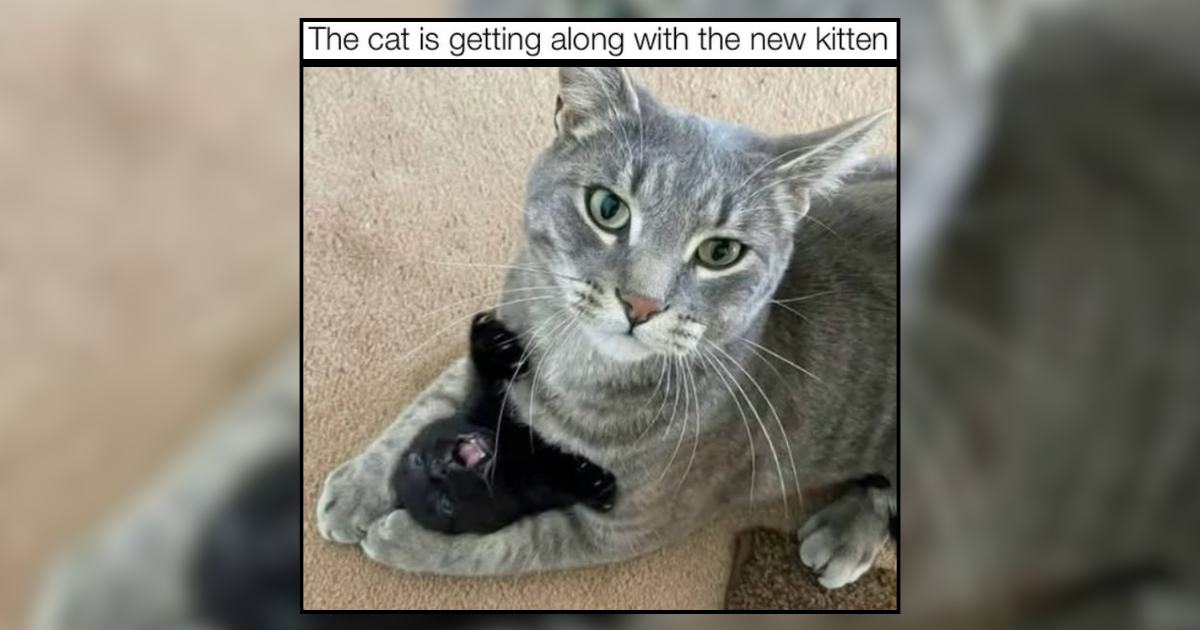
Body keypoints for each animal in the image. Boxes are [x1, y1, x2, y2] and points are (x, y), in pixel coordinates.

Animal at [393, 312, 616, 535]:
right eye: (445, 505)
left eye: (416, 461)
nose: (438, 467)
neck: (504, 448)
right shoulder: (534, 490)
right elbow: (560, 480)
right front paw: (591, 482)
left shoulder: (483, 406)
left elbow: (481, 375)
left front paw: (492, 341)